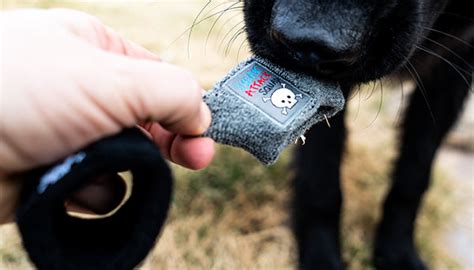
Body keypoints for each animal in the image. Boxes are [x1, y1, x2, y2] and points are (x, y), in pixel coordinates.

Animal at [243, 0, 472, 268]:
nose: (307, 42)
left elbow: (413, 175)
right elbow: (320, 179)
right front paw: (322, 258)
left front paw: (397, 252)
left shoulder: (457, 62)